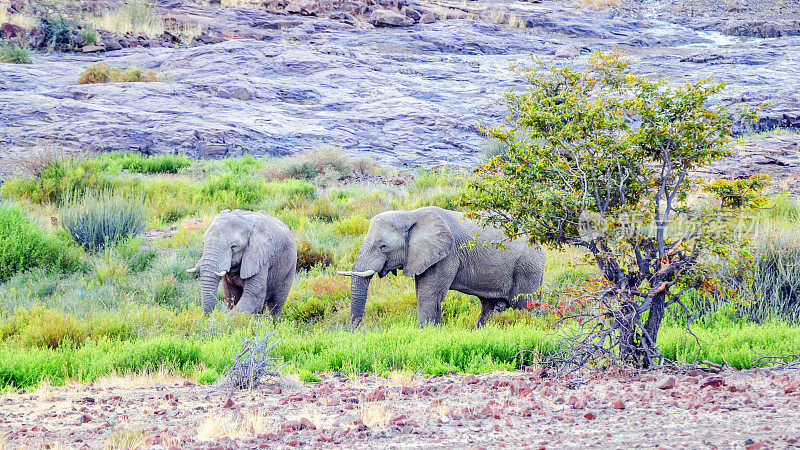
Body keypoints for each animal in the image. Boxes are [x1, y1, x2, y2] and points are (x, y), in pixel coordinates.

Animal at [338, 207, 544, 326]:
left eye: (383, 246)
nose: (356, 332)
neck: (409, 214)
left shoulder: (446, 255)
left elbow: (428, 294)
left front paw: (426, 332)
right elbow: (425, 292)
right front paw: (435, 330)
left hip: (528, 266)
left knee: (524, 305)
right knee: (490, 307)